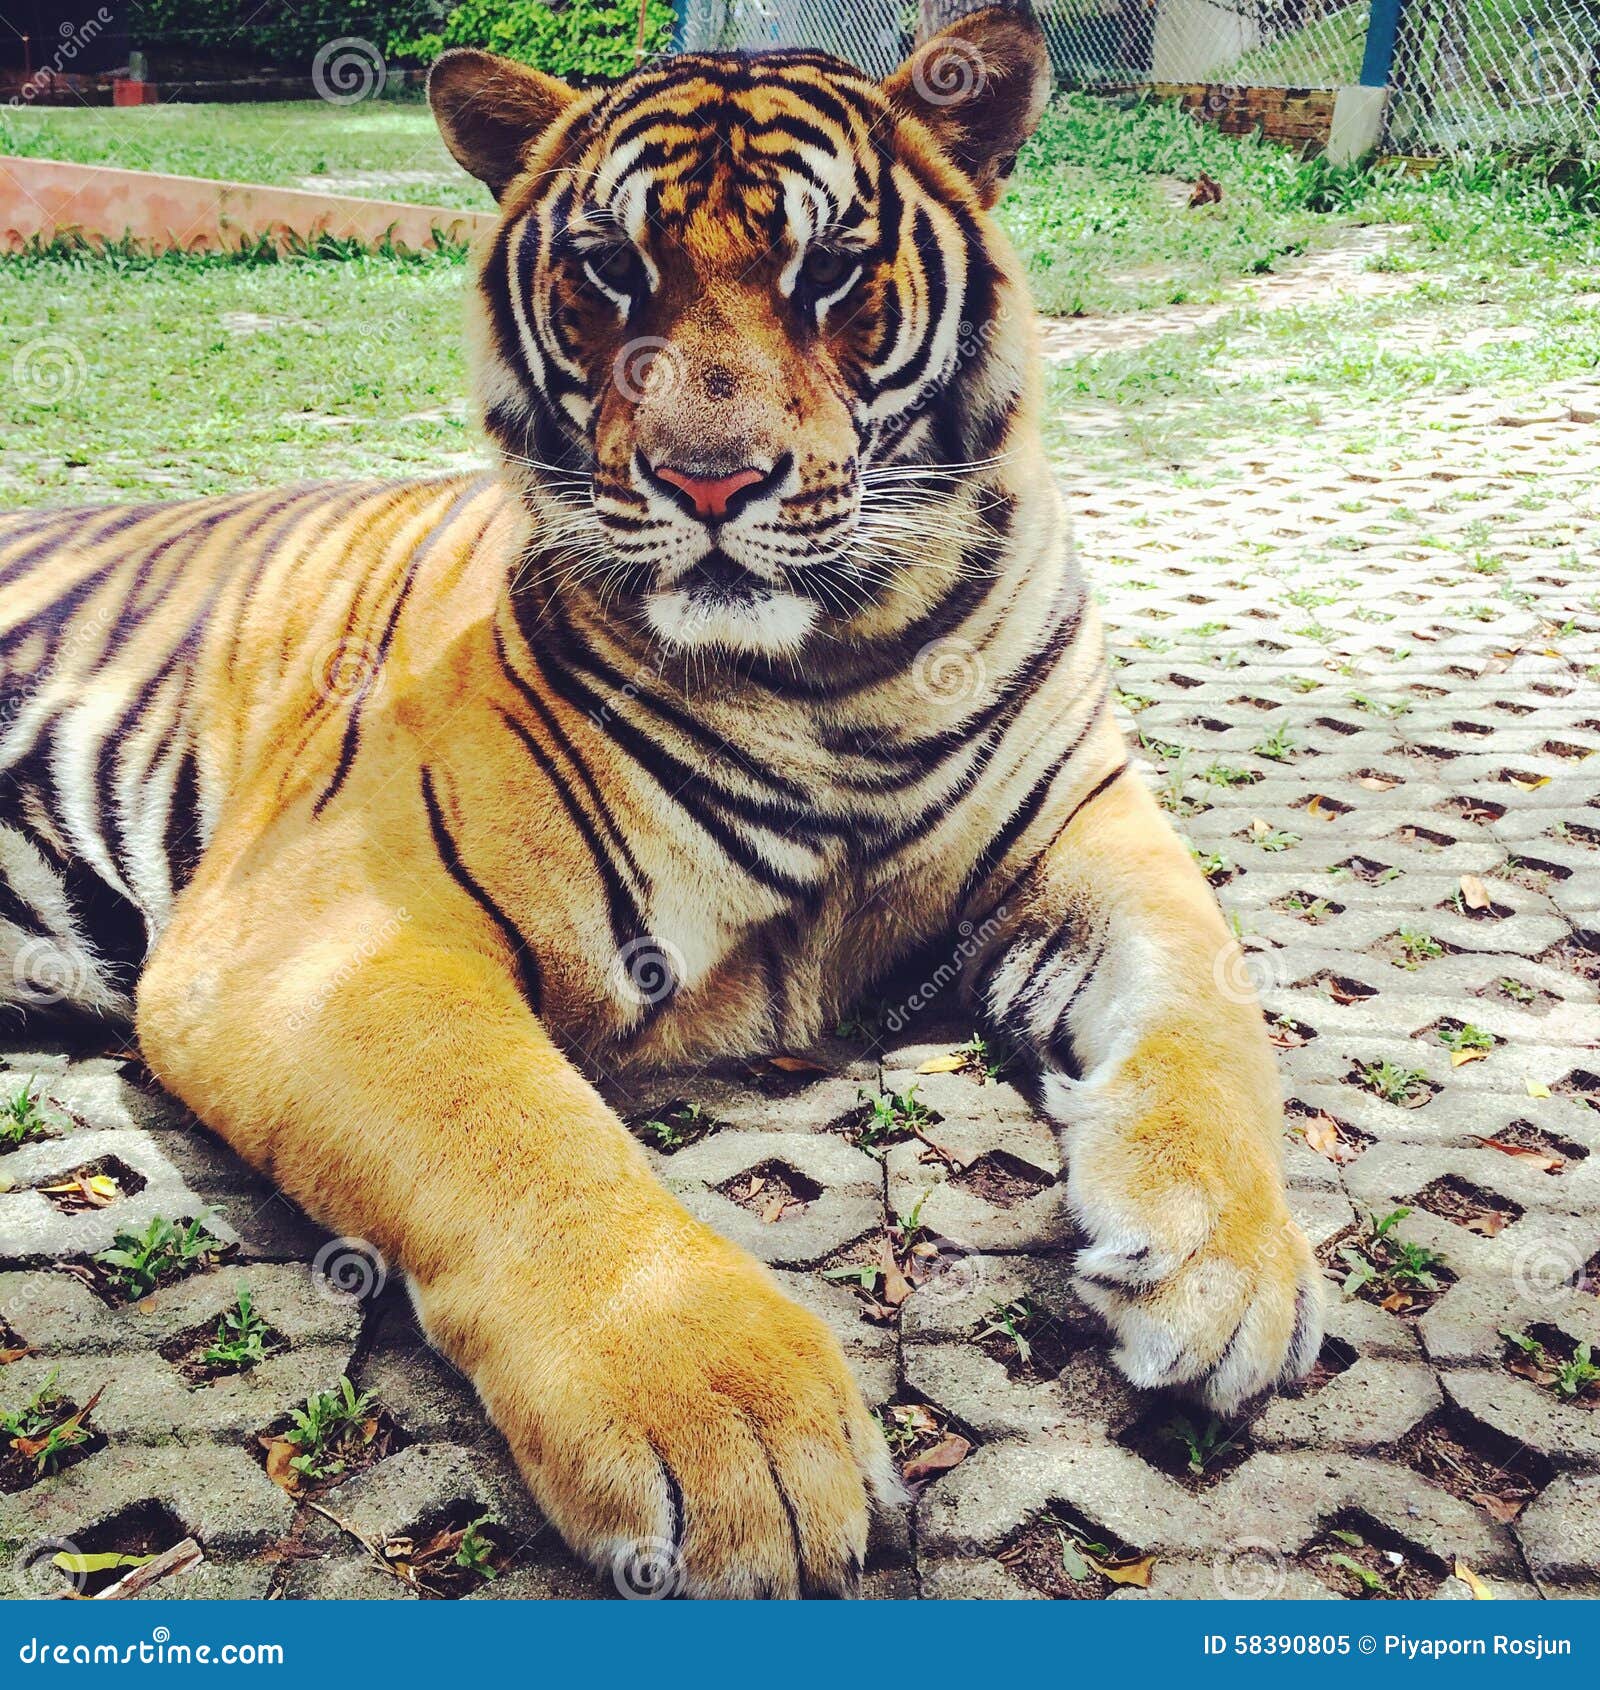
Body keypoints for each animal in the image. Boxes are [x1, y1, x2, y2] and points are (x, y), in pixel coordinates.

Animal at [0, 9, 1324, 1595]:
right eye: (609, 271)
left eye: (830, 272)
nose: (709, 481)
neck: (842, 676)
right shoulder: (320, 932)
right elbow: (517, 1134)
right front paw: (733, 1424)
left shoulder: (1092, 833)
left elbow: (1210, 1015)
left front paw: (1229, 1267)